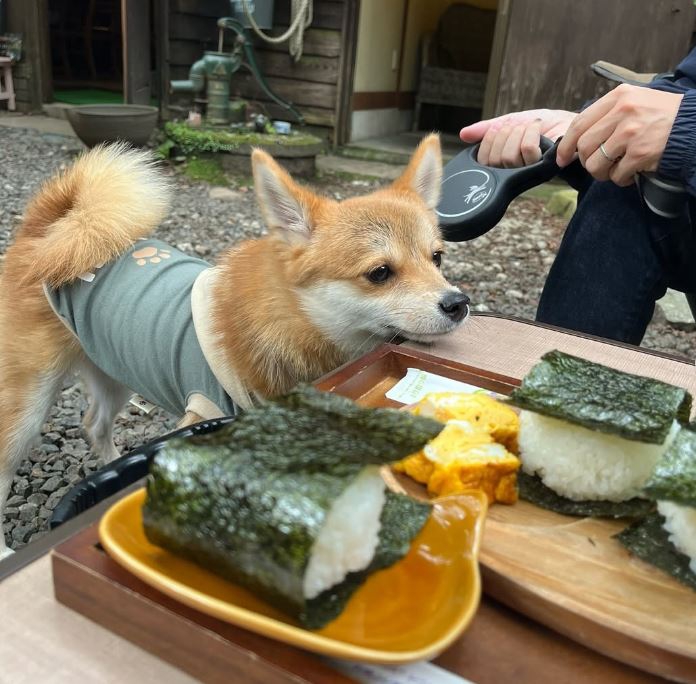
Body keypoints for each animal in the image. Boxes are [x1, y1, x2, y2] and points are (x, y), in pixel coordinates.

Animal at [0, 132, 470, 556]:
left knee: (94, 425)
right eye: (379, 273)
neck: (292, 324)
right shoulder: (202, 413)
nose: (458, 303)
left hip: (114, 370)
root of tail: (45, 233)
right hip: (26, 408)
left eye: (437, 258)